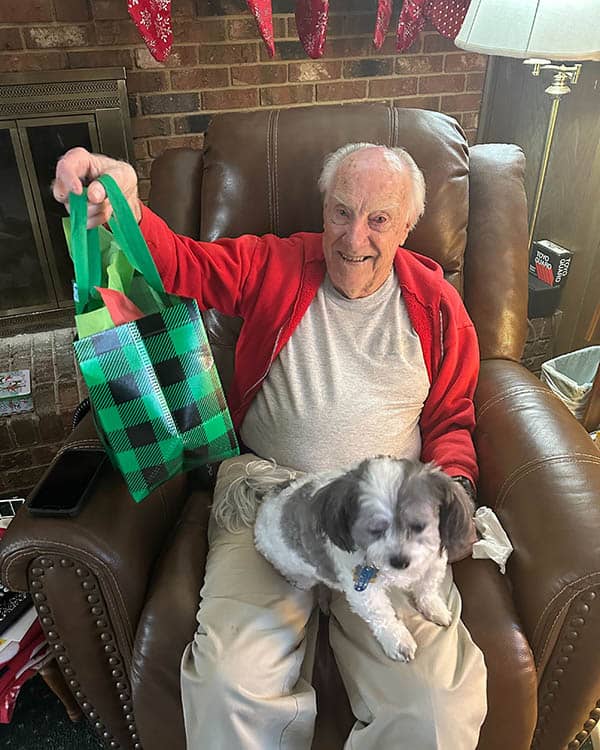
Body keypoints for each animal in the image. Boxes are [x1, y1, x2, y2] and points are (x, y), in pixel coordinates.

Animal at [216, 458, 474, 664]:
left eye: (419, 526)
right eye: (374, 530)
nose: (400, 560)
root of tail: (270, 492)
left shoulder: (433, 560)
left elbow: (427, 588)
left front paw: (434, 608)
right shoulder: (364, 590)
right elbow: (382, 616)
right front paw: (398, 641)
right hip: (296, 570)